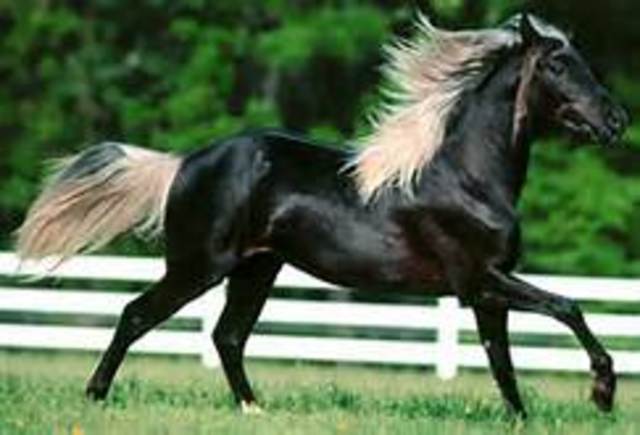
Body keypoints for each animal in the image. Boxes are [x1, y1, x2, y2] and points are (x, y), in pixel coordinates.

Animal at [16, 13, 628, 417]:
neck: (468, 176)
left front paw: (523, 419)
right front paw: (603, 393)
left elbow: (501, 360)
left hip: (256, 269)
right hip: (199, 267)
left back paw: (254, 410)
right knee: (137, 315)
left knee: (227, 337)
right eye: (558, 64)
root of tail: (185, 163)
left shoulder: (485, 291)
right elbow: (568, 308)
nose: (616, 121)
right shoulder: (481, 280)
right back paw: (96, 397)